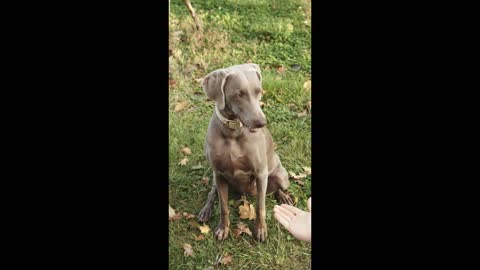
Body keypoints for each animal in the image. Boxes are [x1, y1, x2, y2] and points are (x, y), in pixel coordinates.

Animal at [196, 63, 292, 243]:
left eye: (258, 91)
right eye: (239, 94)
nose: (261, 123)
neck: (233, 132)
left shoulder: (260, 173)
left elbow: (260, 206)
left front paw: (260, 231)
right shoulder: (219, 173)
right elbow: (223, 206)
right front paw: (223, 229)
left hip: (281, 175)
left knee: (276, 187)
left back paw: (283, 196)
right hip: (214, 176)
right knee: (212, 193)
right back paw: (206, 210)